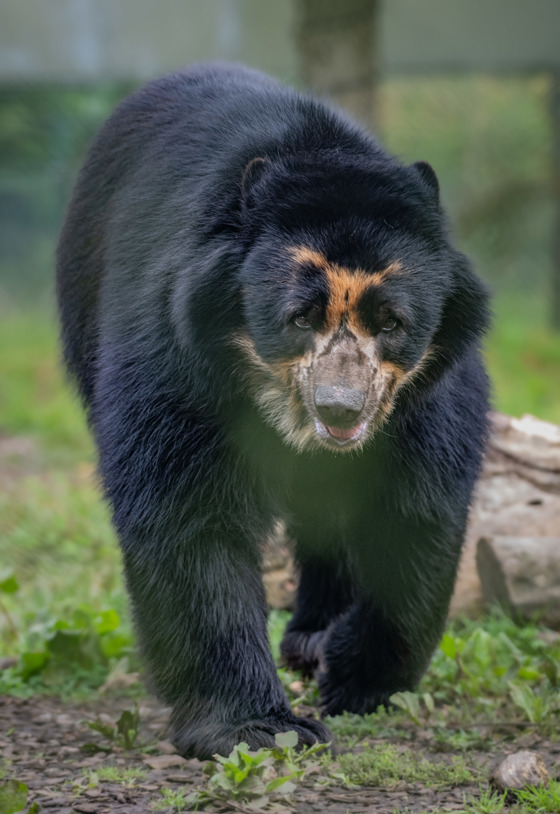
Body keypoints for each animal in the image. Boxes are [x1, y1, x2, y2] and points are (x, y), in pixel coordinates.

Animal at [56, 63, 490, 759]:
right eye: (299, 318)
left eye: (392, 321)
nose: (339, 410)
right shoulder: (178, 358)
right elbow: (187, 516)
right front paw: (260, 727)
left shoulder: (423, 392)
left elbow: (416, 507)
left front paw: (354, 680)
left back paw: (311, 637)